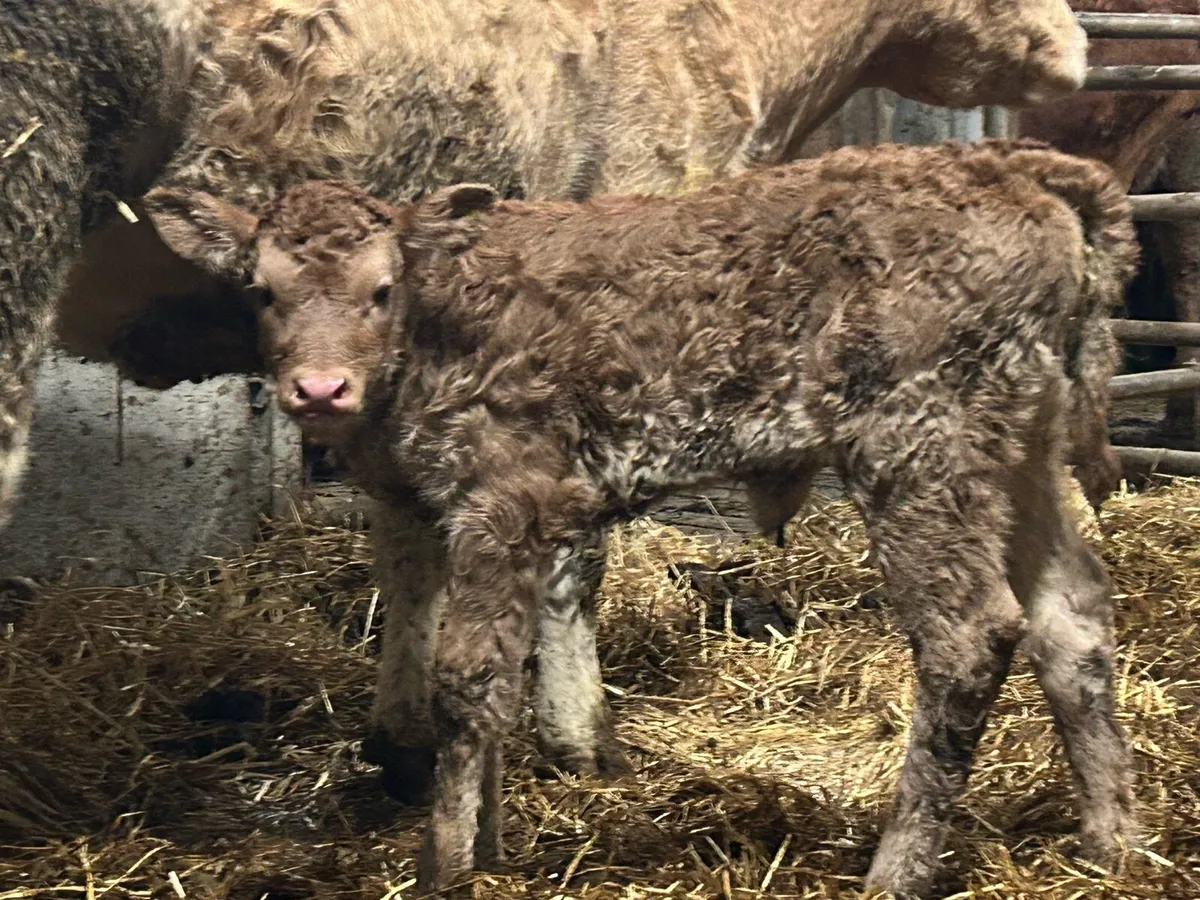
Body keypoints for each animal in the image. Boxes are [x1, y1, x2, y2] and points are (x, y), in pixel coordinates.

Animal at [142, 138, 1140, 896]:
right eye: (263, 291)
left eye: (381, 289)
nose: (318, 389)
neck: (436, 335)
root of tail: (1019, 165)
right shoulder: (481, 511)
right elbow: (497, 675)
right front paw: (490, 848)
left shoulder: (502, 496)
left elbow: (468, 676)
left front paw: (446, 865)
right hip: (1022, 443)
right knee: (1071, 618)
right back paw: (1115, 845)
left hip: (920, 444)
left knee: (970, 635)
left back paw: (895, 872)